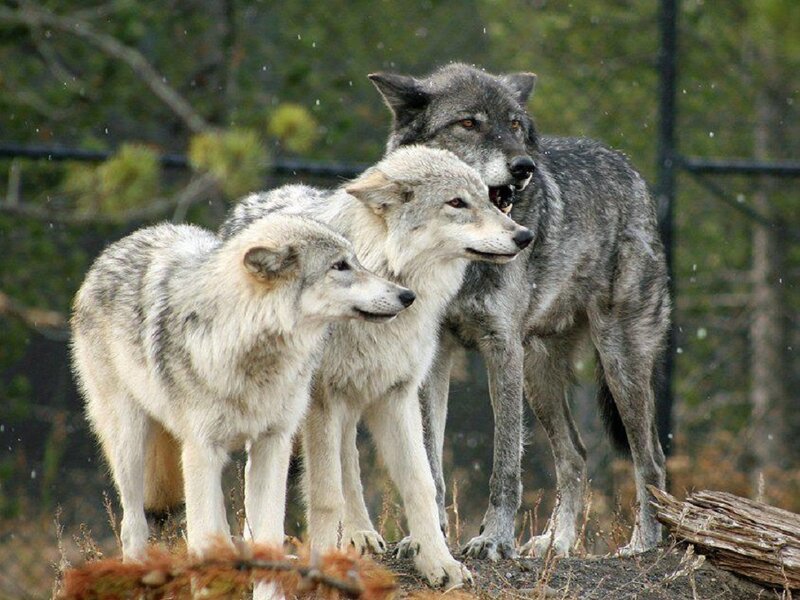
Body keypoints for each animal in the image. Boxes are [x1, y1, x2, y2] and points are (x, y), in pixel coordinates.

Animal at [71, 214, 412, 564]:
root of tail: (118, 246)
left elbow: (269, 534)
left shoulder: (273, 442)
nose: (407, 295)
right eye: (340, 266)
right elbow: (202, 539)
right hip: (130, 443)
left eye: (356, 260)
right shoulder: (202, 449)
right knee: (133, 526)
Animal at [220, 146, 533, 586]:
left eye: (488, 199)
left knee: (349, 460)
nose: (524, 236)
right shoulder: (323, 400)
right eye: (457, 203)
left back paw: (361, 534)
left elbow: (421, 483)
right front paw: (324, 560)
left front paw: (440, 564)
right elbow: (327, 494)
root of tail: (251, 203)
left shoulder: (398, 394)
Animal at [367, 64, 670, 560]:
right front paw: (426, 540)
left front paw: (494, 539)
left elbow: (506, 462)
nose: (524, 167)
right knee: (575, 455)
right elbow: (429, 461)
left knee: (651, 459)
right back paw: (557, 544)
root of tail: (631, 170)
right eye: (468, 123)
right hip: (540, 374)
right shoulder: (434, 356)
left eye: (513, 125)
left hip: (618, 363)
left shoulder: (501, 348)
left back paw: (642, 544)